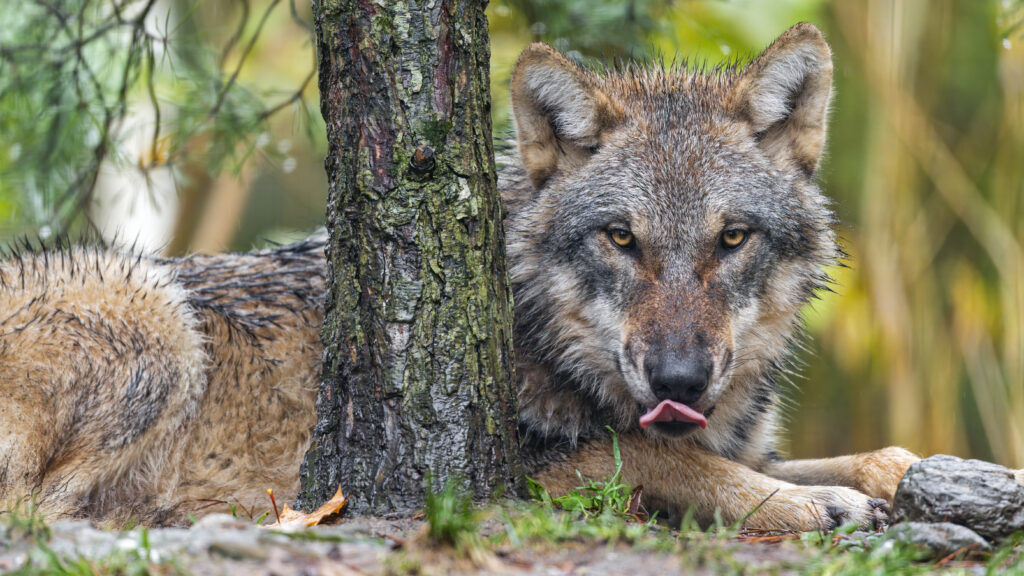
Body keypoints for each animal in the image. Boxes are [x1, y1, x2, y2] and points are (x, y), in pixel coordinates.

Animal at [0, 23, 920, 528]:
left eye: (731, 238)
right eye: (621, 238)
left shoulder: (745, 442)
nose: (680, 379)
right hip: (147, 307)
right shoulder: (529, 471)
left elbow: (878, 454)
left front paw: (893, 477)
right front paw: (815, 507)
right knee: (43, 514)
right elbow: (662, 458)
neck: (540, 335)